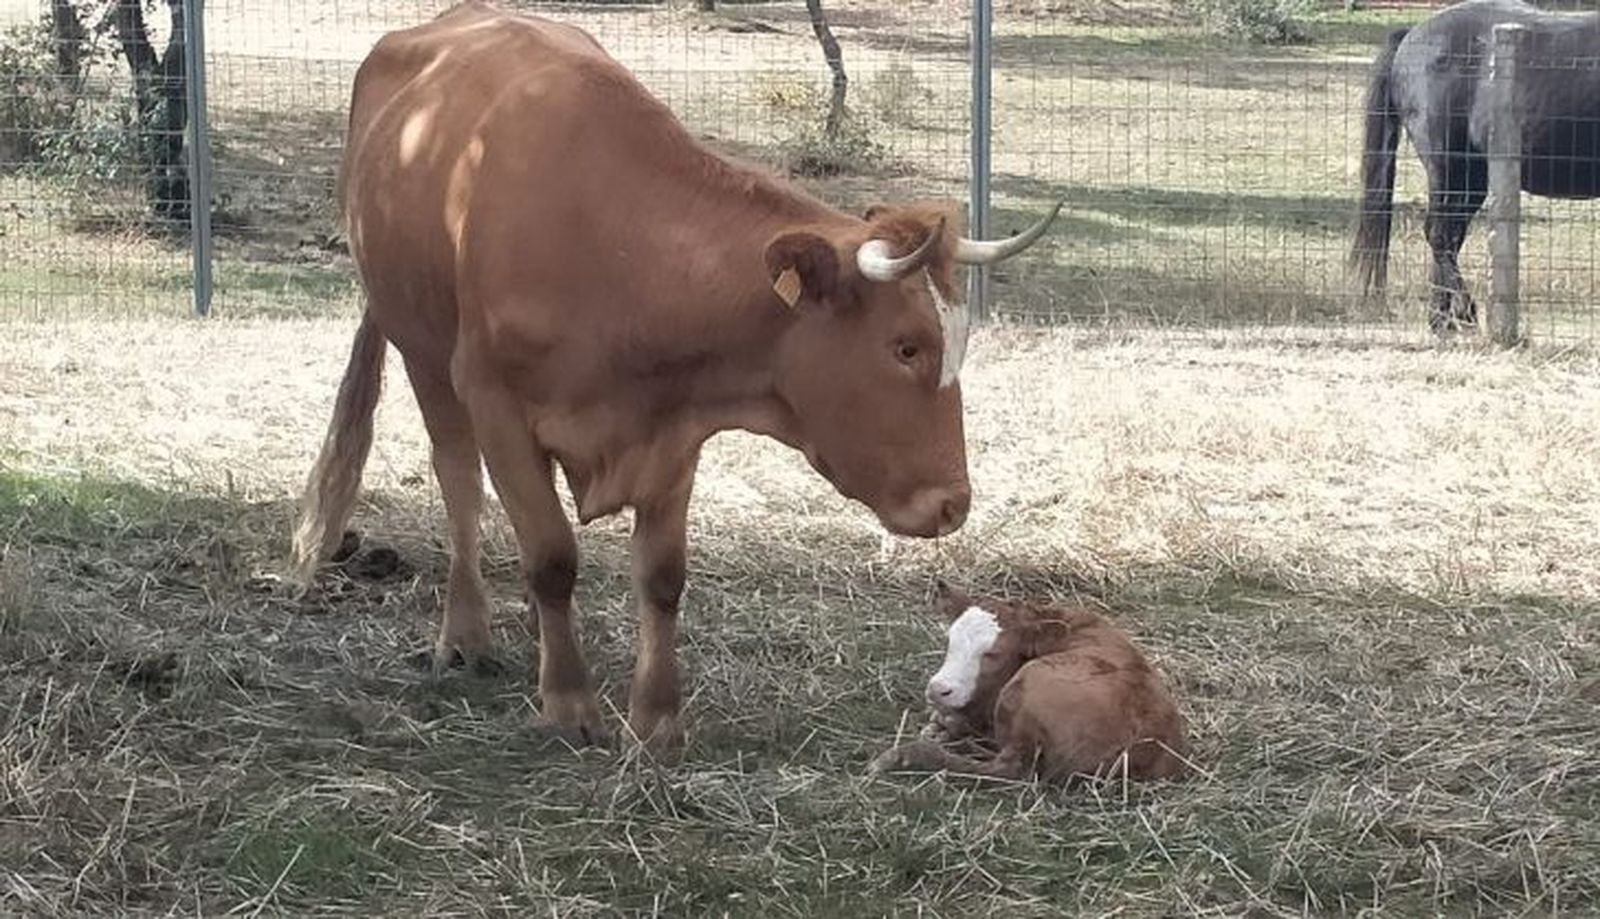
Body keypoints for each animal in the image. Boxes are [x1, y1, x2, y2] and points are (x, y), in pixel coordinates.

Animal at [291, 1, 1062, 751]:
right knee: (459, 483)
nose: (953, 504)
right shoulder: (496, 403)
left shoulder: (676, 429)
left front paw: (657, 717)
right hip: (422, 351)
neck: (618, 249)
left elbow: (661, 577)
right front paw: (568, 702)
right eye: (906, 347)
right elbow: (551, 554)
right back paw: (468, 633)